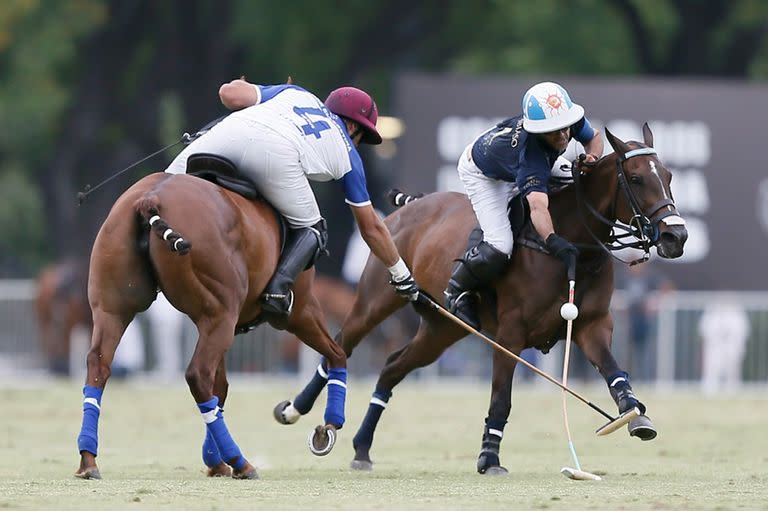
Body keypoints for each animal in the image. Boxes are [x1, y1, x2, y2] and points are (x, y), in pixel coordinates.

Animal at [74, 163, 344, 480]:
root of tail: (150, 199)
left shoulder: (220, 325)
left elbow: (222, 386)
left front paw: (214, 461)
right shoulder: (299, 310)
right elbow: (336, 354)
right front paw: (329, 426)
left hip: (114, 307)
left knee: (98, 364)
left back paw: (88, 460)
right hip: (223, 313)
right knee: (198, 374)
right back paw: (241, 462)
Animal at [274, 125, 688, 476]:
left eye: (668, 176)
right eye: (635, 178)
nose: (676, 237)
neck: (574, 245)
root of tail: (411, 205)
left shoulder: (592, 324)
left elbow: (615, 371)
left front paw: (636, 416)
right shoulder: (510, 333)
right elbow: (501, 397)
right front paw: (490, 458)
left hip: (441, 328)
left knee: (392, 367)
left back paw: (362, 448)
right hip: (376, 300)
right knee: (339, 347)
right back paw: (296, 411)